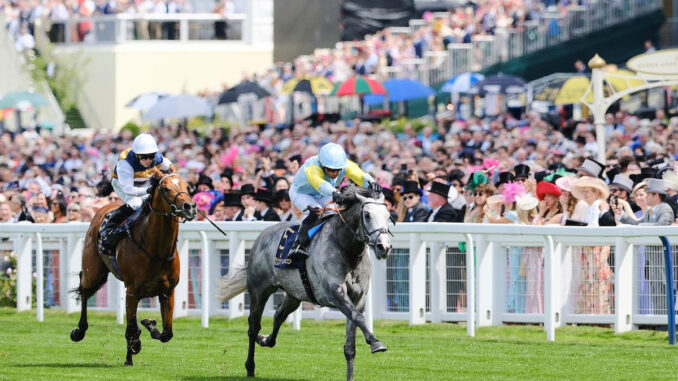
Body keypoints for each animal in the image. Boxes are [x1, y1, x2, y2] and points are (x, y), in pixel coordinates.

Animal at [69, 170, 197, 366]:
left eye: (187, 186)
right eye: (166, 188)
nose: (189, 206)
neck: (157, 250)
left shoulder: (168, 291)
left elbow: (166, 334)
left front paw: (149, 324)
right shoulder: (132, 291)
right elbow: (130, 328)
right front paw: (132, 351)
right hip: (94, 273)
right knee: (84, 291)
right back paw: (79, 331)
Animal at [219, 183, 394, 378]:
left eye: (388, 216)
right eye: (367, 215)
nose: (384, 247)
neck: (345, 247)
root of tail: (263, 234)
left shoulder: (358, 298)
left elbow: (351, 343)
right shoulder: (335, 293)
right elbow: (358, 317)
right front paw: (376, 342)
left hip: (294, 295)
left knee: (278, 315)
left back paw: (264, 339)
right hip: (259, 290)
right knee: (253, 325)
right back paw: (250, 366)